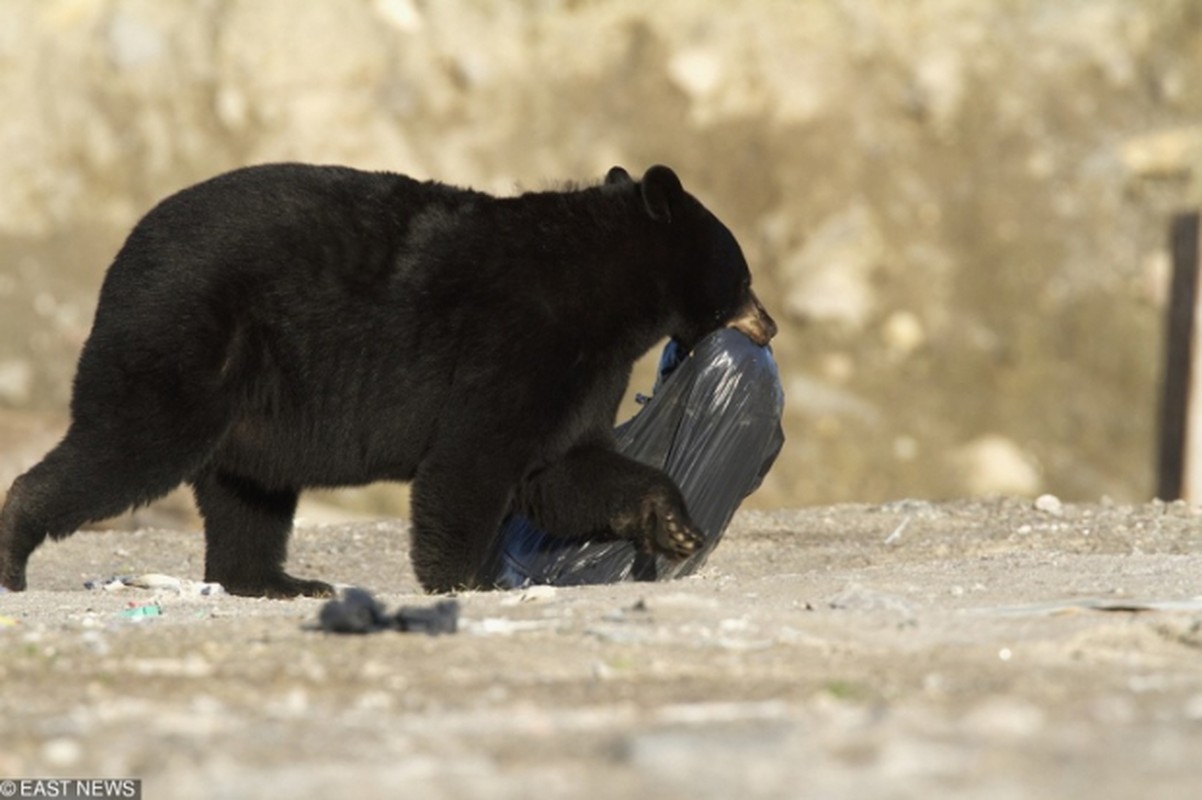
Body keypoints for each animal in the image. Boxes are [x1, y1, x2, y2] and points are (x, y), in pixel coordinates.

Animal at [0, 164, 774, 595]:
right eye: (744, 276)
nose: (769, 323)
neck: (605, 289)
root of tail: (123, 255)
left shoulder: (584, 371)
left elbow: (563, 467)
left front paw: (671, 524)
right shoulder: (520, 340)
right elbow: (473, 459)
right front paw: (465, 578)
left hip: (247, 404)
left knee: (247, 496)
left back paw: (280, 583)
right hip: (182, 343)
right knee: (128, 446)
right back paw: (13, 551)